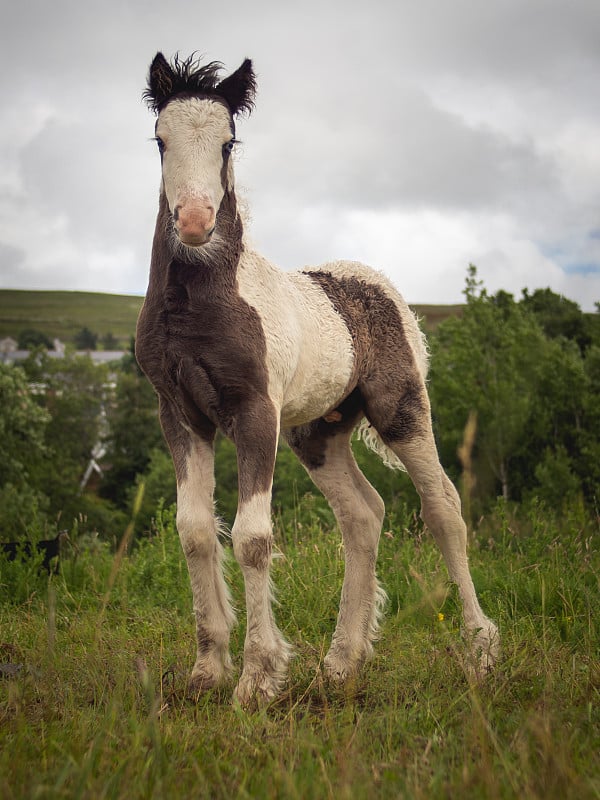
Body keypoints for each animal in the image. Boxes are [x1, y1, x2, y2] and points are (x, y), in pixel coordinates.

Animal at [137, 53, 502, 708]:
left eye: (228, 142)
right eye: (160, 140)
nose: (197, 223)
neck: (199, 302)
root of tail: (377, 283)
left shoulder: (255, 411)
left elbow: (252, 537)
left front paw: (257, 679)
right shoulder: (179, 413)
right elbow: (195, 531)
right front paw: (207, 670)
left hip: (402, 409)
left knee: (442, 508)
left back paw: (480, 652)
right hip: (318, 432)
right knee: (364, 515)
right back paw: (342, 662)